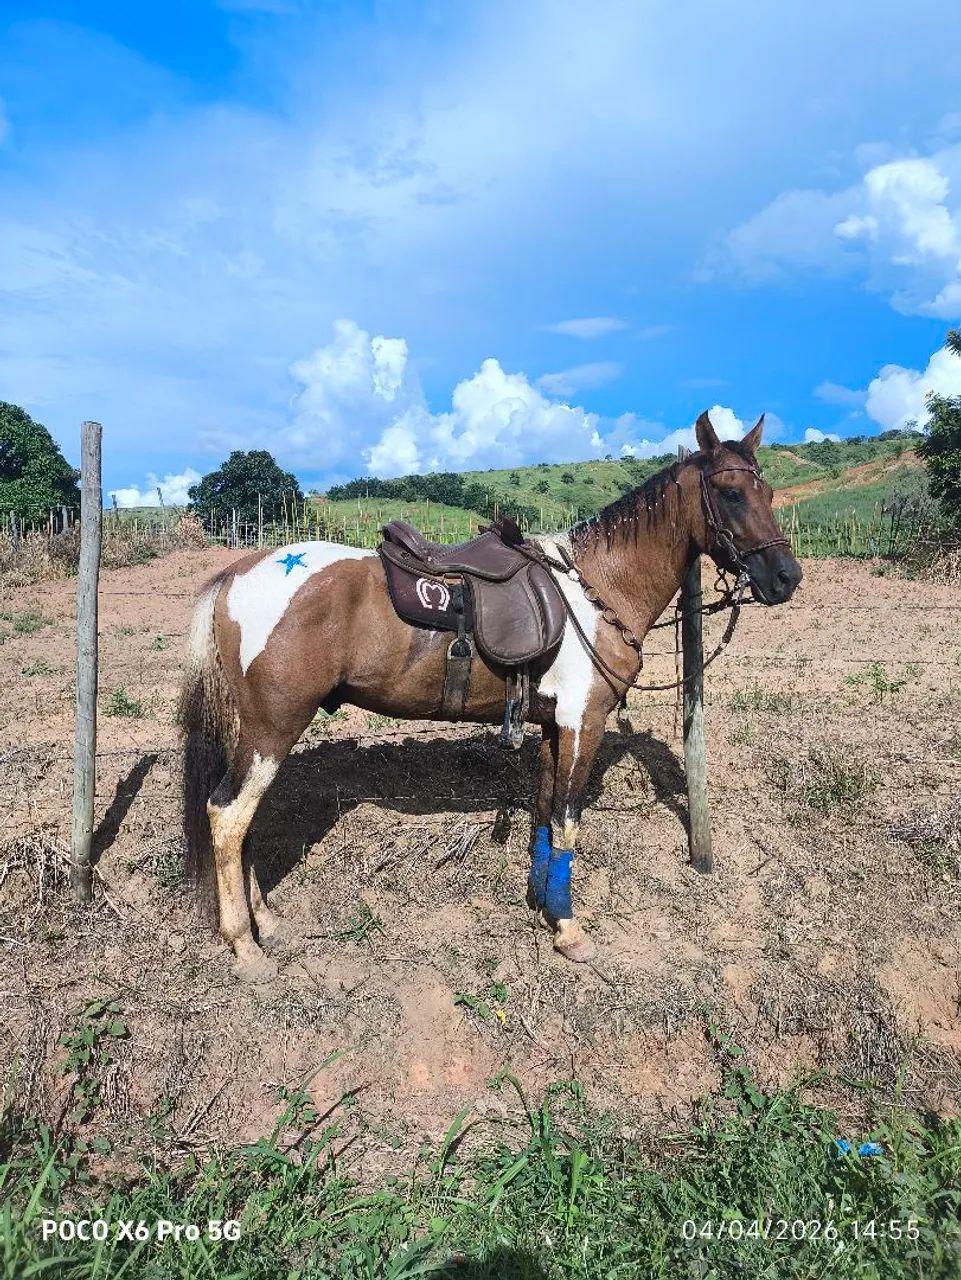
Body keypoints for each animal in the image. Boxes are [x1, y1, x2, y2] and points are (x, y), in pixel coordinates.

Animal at [178, 410, 802, 980]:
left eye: (769, 492)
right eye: (730, 493)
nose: (786, 577)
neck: (594, 590)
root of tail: (238, 573)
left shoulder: (554, 726)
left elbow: (546, 817)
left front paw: (543, 904)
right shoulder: (584, 722)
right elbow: (569, 821)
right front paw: (570, 931)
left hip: (258, 734)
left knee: (243, 818)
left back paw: (267, 922)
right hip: (274, 727)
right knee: (228, 815)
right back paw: (245, 947)